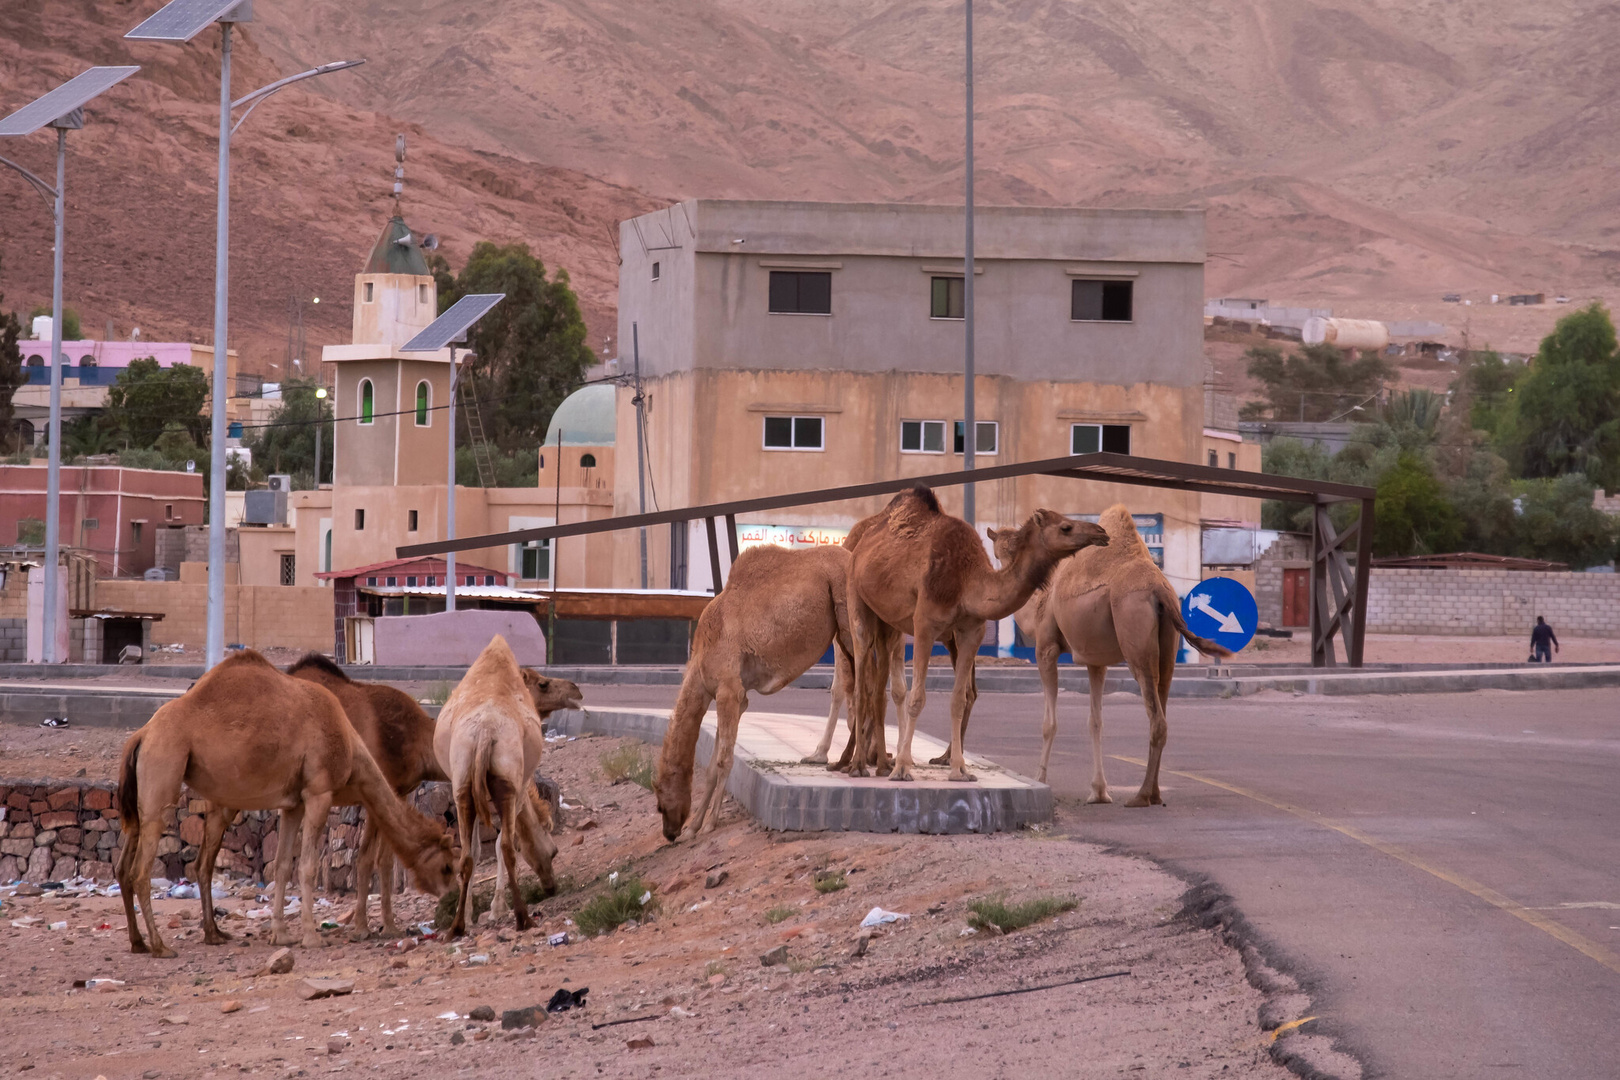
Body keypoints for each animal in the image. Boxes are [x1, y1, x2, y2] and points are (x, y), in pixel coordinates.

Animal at [117, 650, 453, 965]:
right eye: (448, 867)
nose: (453, 901)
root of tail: (141, 735)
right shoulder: (320, 792)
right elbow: (319, 865)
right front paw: (321, 935)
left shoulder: (294, 804)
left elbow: (281, 865)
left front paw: (281, 934)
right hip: (165, 772)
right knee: (142, 870)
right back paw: (161, 945)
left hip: (152, 795)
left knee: (146, 863)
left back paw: (156, 940)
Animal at [434, 637, 579, 932]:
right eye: (542, 684)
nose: (576, 690)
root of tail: (486, 730)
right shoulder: (520, 788)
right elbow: (505, 841)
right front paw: (496, 910)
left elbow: (476, 850)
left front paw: (470, 914)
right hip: (507, 784)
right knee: (506, 848)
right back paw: (522, 917)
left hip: (463, 785)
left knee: (466, 855)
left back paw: (456, 926)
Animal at [654, 544, 861, 841]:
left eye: (659, 802)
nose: (669, 833)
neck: (701, 658)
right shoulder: (736, 697)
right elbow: (712, 766)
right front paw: (693, 828)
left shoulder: (728, 691)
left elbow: (723, 760)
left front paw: (708, 823)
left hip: (848, 621)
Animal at [842, 488, 1108, 786]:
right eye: (1065, 527)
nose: (1101, 532)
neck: (966, 581)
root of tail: (861, 543)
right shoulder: (925, 625)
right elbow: (917, 698)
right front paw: (902, 769)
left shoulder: (972, 631)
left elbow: (959, 699)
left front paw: (959, 770)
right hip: (857, 597)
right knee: (861, 675)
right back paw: (857, 765)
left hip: (889, 621)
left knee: (878, 685)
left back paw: (877, 764)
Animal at [991, 505, 1231, 803]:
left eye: (1005, 551)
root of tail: (1160, 588)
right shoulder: (1096, 662)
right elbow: (1096, 722)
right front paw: (1099, 791)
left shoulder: (1045, 648)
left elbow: (1049, 723)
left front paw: (1040, 779)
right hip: (1167, 648)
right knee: (1162, 704)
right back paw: (1155, 794)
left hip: (1135, 639)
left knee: (1156, 719)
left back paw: (1141, 796)